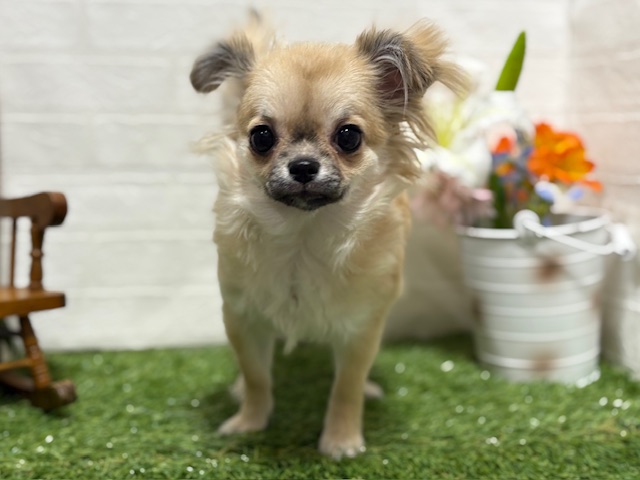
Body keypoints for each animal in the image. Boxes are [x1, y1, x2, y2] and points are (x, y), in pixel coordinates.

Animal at [190, 12, 465, 459]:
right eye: (261, 137)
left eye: (348, 136)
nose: (303, 165)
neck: (303, 237)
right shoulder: (242, 317)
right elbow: (256, 376)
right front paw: (250, 422)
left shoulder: (361, 327)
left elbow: (346, 387)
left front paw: (341, 440)